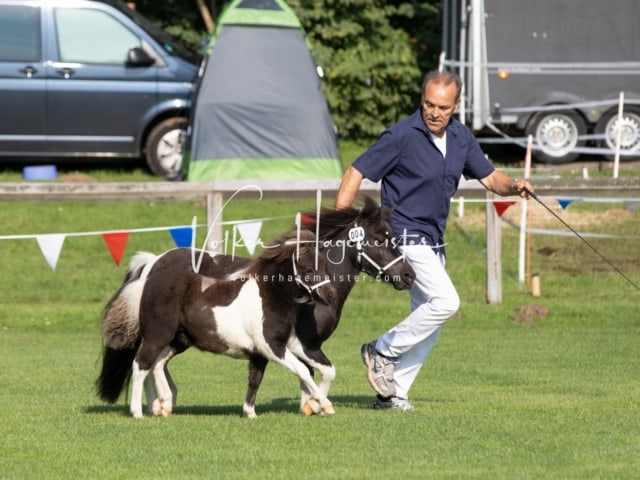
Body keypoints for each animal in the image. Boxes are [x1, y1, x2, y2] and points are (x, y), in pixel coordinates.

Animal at [96, 229, 336, 416]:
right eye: (308, 269)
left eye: (325, 266)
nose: (330, 296)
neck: (269, 297)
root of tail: (146, 283)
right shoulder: (272, 347)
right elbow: (302, 370)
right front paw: (325, 405)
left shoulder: (288, 344)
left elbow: (319, 370)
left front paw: (251, 413)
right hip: (157, 337)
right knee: (141, 365)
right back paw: (139, 411)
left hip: (177, 341)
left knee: (157, 364)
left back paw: (164, 404)